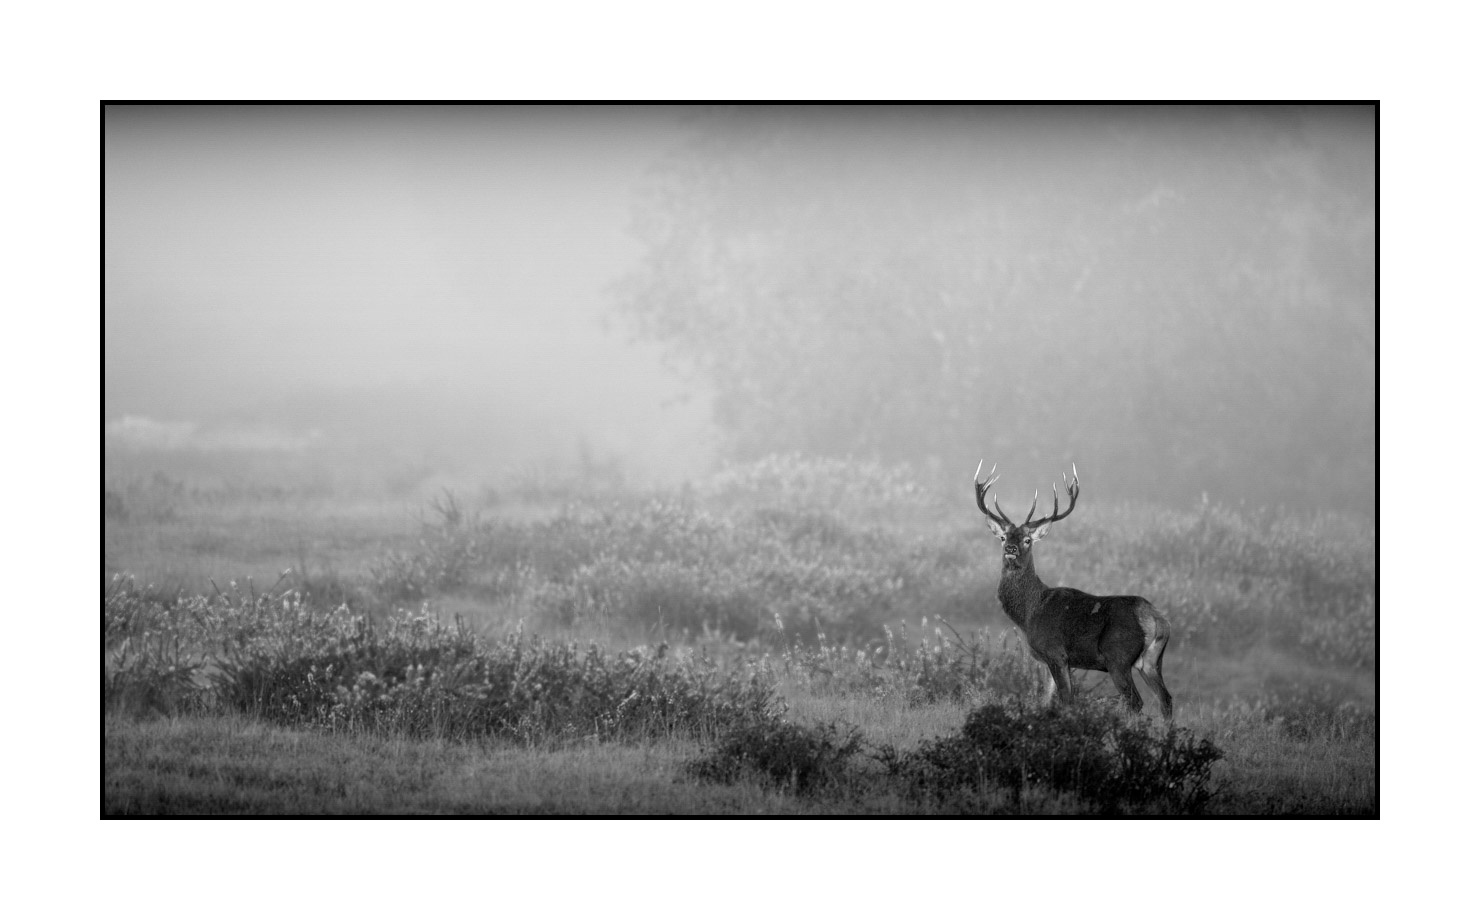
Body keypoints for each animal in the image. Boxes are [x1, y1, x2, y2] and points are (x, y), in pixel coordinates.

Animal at [973, 461, 1173, 719]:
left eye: (1028, 540)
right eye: (1003, 537)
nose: (1011, 548)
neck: (1029, 613)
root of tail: (1156, 619)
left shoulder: (1055, 652)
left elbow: (1067, 700)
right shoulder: (1052, 661)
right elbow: (1047, 699)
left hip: (1117, 657)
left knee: (1135, 701)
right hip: (1151, 661)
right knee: (1166, 699)